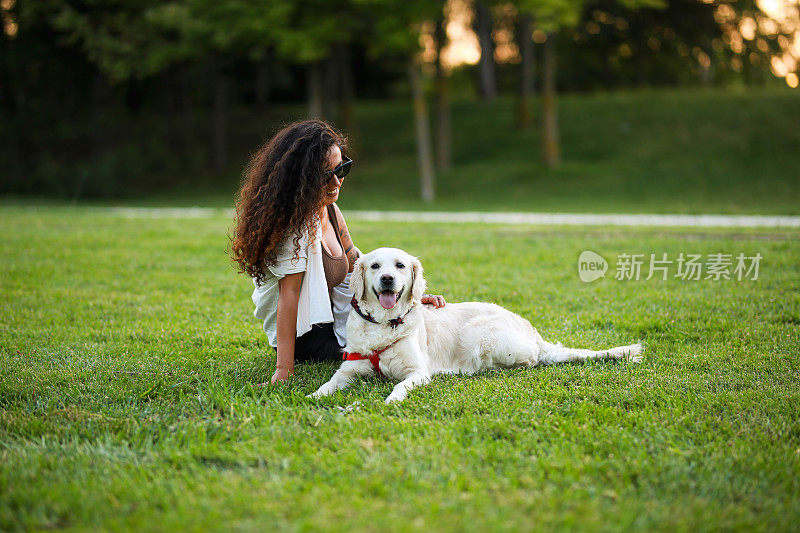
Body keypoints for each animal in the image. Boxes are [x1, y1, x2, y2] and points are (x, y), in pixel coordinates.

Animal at [310, 247, 640, 402]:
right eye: (375, 266)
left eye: (400, 266)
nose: (387, 279)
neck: (384, 323)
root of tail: (534, 334)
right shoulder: (349, 369)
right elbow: (329, 384)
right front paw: (313, 397)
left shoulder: (417, 372)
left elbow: (400, 386)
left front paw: (391, 399)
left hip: (477, 332)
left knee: (524, 362)